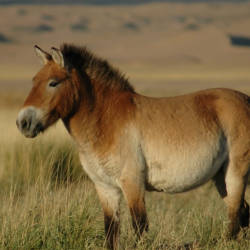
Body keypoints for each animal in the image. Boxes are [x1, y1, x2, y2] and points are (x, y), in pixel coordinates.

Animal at [16, 44, 249, 248]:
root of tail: (246, 100)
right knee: (241, 213)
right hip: (220, 177)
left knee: (235, 218)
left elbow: (139, 226)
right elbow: (111, 232)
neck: (106, 120)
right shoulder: (105, 188)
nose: (23, 123)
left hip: (235, 174)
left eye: (53, 83)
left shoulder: (133, 183)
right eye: (34, 80)